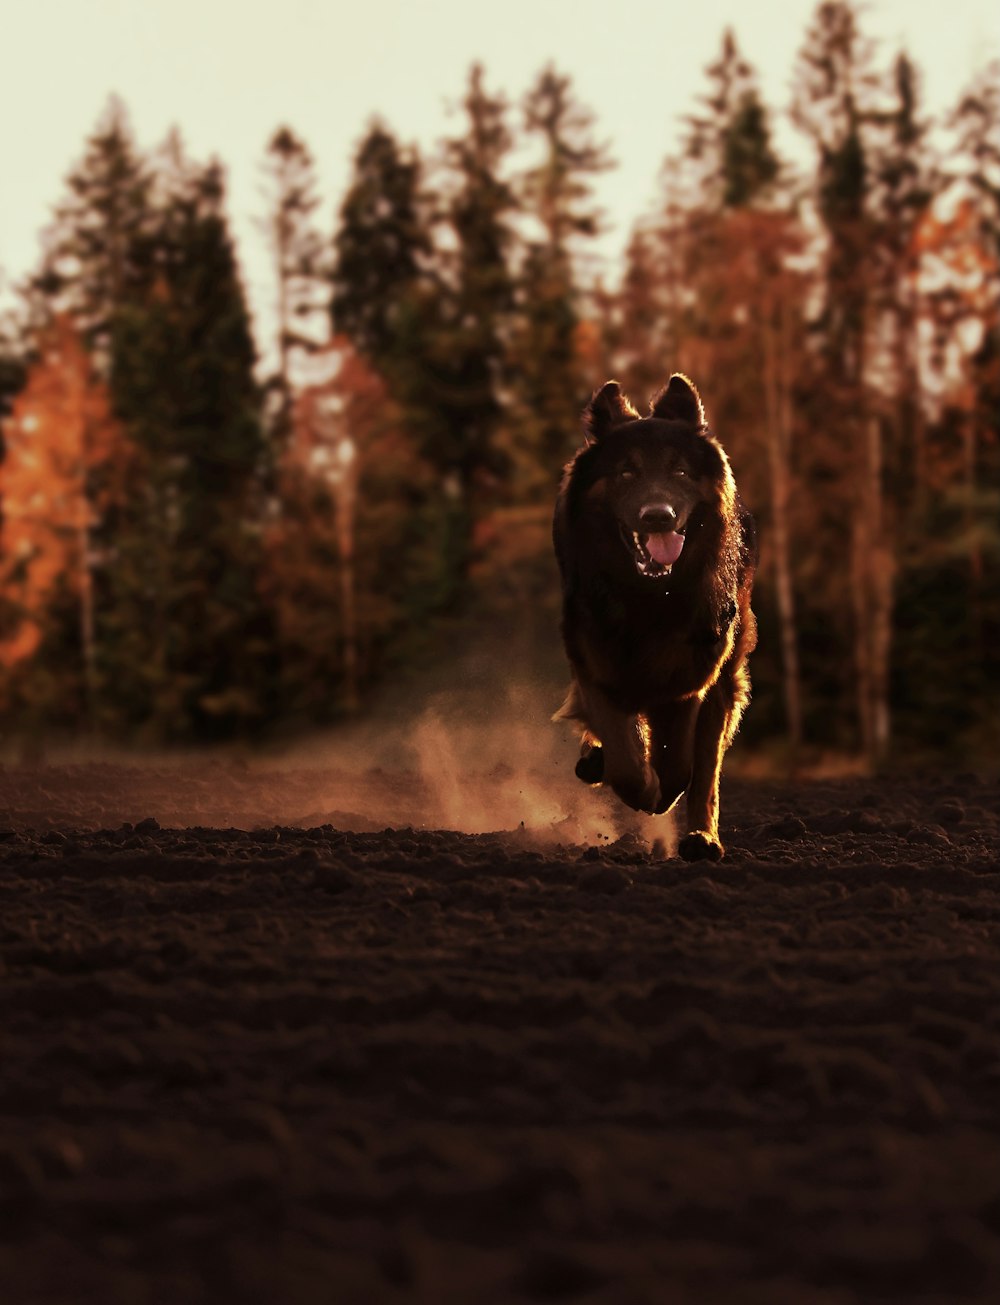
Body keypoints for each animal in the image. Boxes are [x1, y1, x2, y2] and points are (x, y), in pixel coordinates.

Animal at [556, 373, 762, 861]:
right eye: (626, 472)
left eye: (680, 472)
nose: (657, 517)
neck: (649, 596)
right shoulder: (596, 669)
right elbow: (627, 761)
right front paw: (638, 786)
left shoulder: (689, 681)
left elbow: (679, 767)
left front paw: (661, 794)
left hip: (723, 683)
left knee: (705, 773)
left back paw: (702, 839)